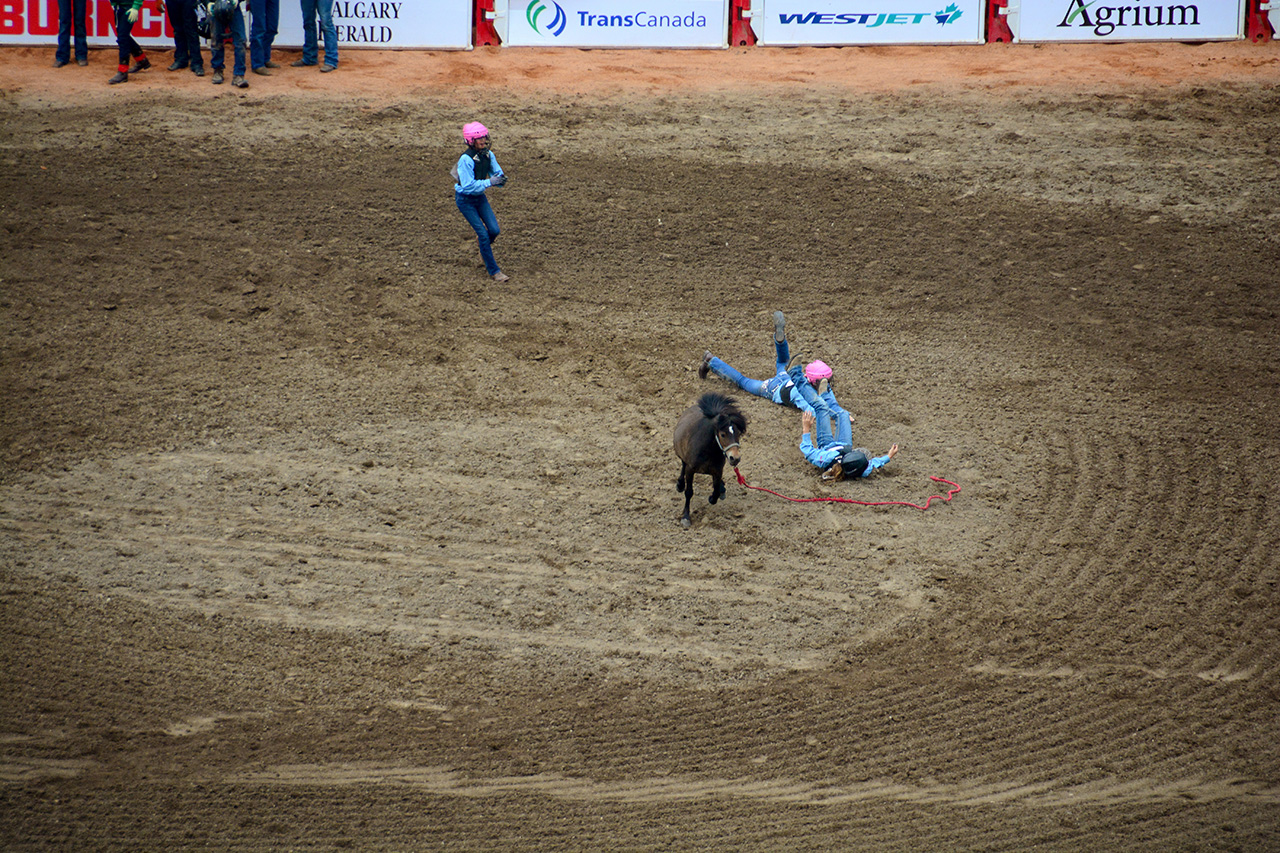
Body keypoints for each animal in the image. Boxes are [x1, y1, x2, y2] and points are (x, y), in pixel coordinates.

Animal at [670, 389, 747, 525]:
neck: (707, 451)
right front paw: (686, 517)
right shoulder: (690, 470)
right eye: (722, 434)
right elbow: (689, 492)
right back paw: (680, 484)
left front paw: (713, 497)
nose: (735, 458)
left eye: (738, 433)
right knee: (683, 465)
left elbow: (715, 491)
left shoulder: (718, 470)